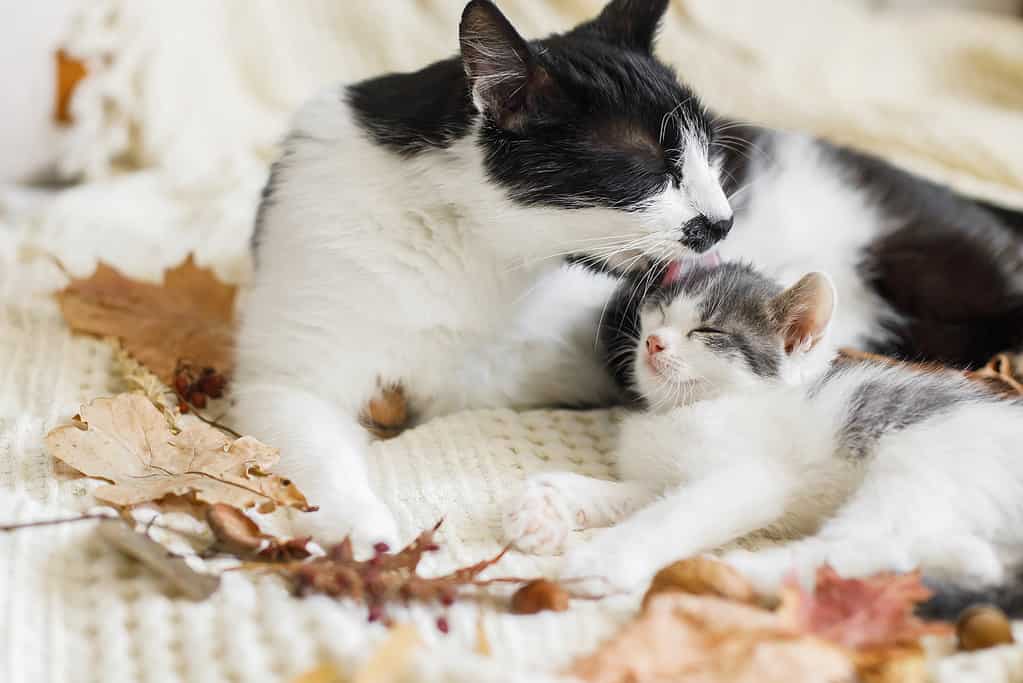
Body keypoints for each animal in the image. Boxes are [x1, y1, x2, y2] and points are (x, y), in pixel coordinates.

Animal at [234, 0, 1023, 548]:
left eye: (711, 155)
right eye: (652, 167)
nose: (724, 219)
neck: (480, 253)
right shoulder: (289, 366)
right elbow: (312, 445)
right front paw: (361, 529)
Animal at [501, 261, 1023, 613]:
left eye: (706, 330)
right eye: (659, 315)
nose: (652, 342)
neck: (687, 410)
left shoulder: (750, 479)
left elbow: (672, 515)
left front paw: (607, 558)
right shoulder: (666, 477)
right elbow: (639, 495)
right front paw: (543, 507)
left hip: (918, 467)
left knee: (859, 549)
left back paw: (732, 573)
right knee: (959, 561)